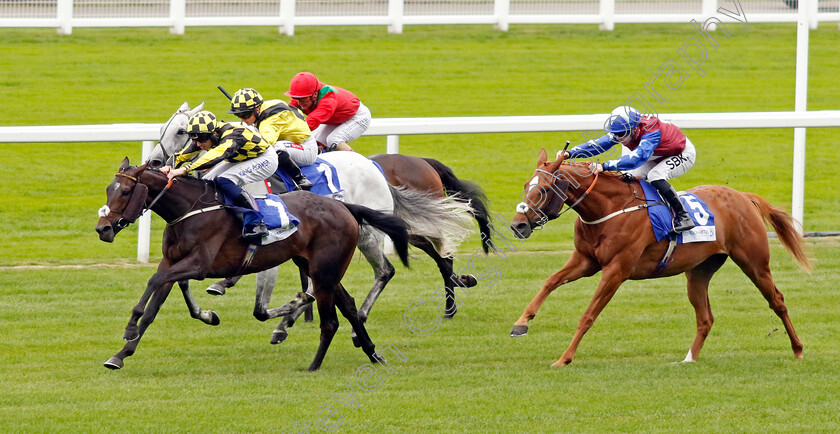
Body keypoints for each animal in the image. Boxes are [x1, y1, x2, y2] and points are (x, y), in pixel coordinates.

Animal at [95, 158, 410, 372]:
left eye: (125, 192)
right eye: (109, 189)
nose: (103, 229)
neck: (190, 210)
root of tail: (344, 206)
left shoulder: (198, 265)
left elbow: (153, 283)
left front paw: (129, 328)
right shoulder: (171, 261)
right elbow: (153, 307)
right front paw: (121, 354)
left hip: (324, 271)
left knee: (331, 319)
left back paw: (314, 363)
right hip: (318, 268)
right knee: (349, 306)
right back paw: (372, 353)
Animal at [508, 149, 812, 366]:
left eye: (543, 189)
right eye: (525, 185)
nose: (517, 226)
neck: (610, 208)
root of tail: (743, 196)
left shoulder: (616, 269)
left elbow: (588, 314)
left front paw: (564, 358)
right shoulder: (586, 260)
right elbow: (549, 282)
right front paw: (521, 324)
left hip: (754, 262)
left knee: (777, 301)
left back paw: (798, 349)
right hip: (699, 272)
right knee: (705, 318)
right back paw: (688, 359)